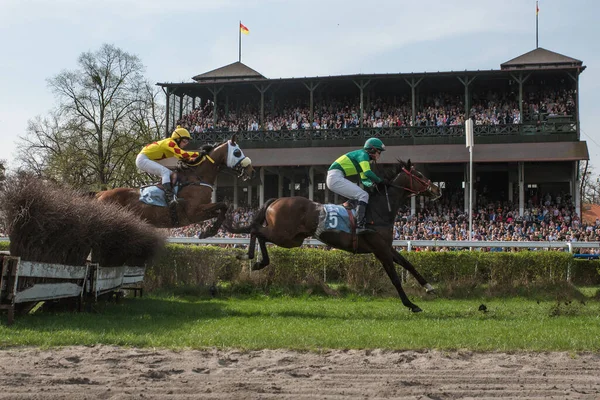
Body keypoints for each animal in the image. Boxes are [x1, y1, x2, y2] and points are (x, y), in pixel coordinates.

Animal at [95, 134, 254, 234]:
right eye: (237, 152)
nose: (251, 170)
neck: (197, 179)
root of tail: (100, 194)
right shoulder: (193, 211)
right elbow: (223, 205)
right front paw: (210, 231)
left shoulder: (200, 213)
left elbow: (222, 210)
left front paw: (214, 230)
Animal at [224, 160, 440, 312]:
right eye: (419, 175)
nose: (437, 189)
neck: (377, 211)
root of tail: (276, 200)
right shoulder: (380, 250)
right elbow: (394, 277)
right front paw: (411, 304)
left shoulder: (386, 247)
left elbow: (408, 264)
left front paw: (429, 287)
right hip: (284, 235)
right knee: (255, 229)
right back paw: (249, 257)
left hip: (292, 239)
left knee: (259, 232)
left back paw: (258, 261)